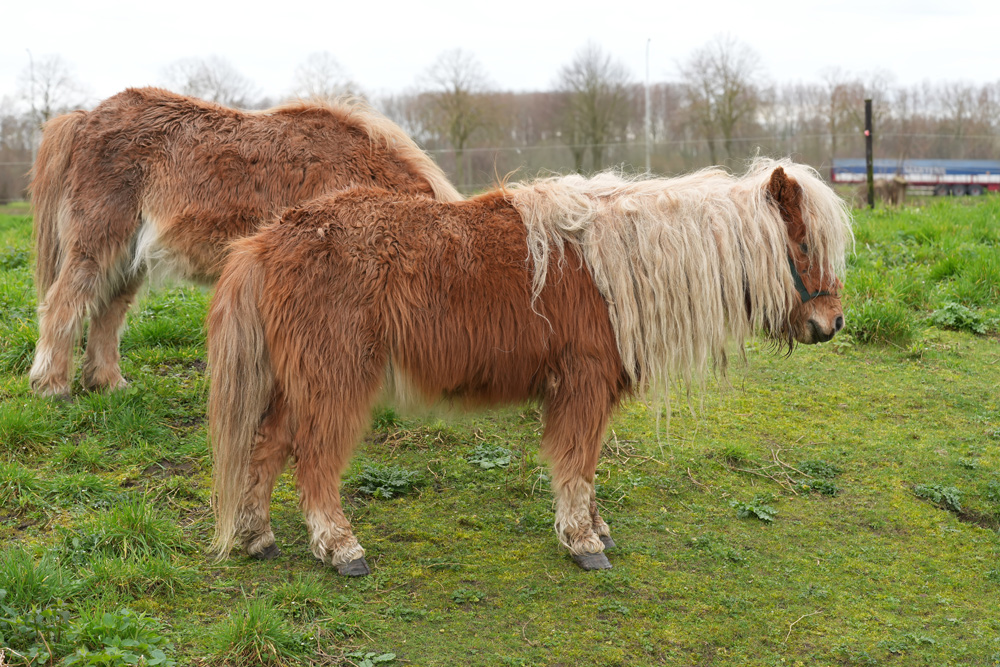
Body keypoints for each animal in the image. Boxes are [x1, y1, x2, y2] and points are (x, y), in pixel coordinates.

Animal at [28, 86, 461, 398]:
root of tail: (86, 118)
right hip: (98, 242)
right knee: (64, 303)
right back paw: (52, 387)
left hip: (128, 257)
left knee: (106, 312)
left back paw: (108, 385)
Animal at [206, 158, 852, 574]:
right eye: (803, 246)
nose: (833, 323)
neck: (620, 265)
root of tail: (268, 239)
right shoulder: (582, 385)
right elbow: (575, 463)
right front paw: (583, 542)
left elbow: (586, 465)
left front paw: (596, 526)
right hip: (333, 382)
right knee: (314, 461)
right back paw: (341, 549)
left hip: (294, 385)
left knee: (265, 449)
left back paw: (257, 537)